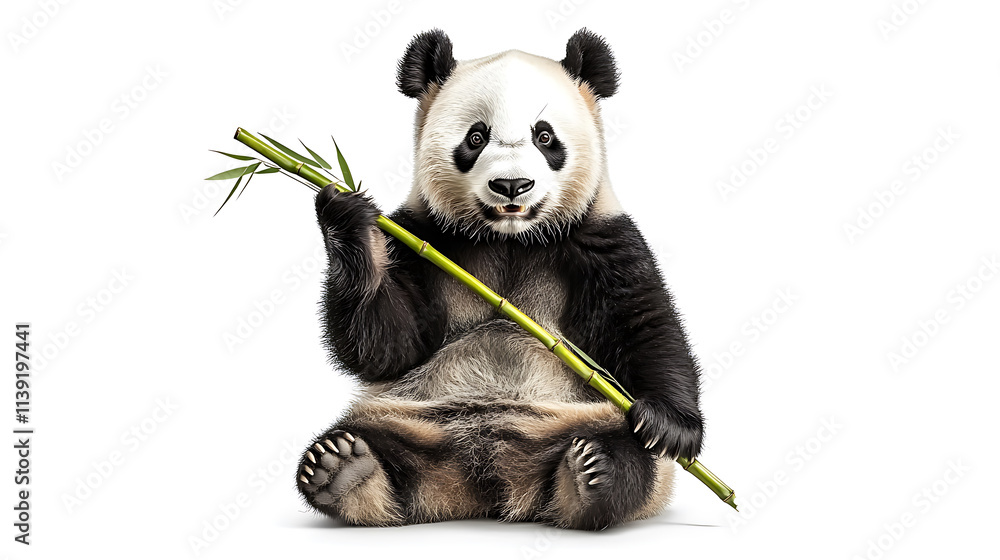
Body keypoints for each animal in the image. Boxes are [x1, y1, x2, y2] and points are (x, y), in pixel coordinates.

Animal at [297, 28, 704, 531]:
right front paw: (345, 212)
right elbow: (389, 346)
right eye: (476, 137)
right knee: (366, 438)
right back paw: (343, 469)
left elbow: (642, 320)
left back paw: (592, 471)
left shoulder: (600, 235)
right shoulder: (421, 238)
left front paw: (671, 426)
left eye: (544, 136)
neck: (511, 237)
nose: (512, 186)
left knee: (632, 455)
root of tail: (485, 480)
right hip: (405, 414)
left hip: (583, 414)